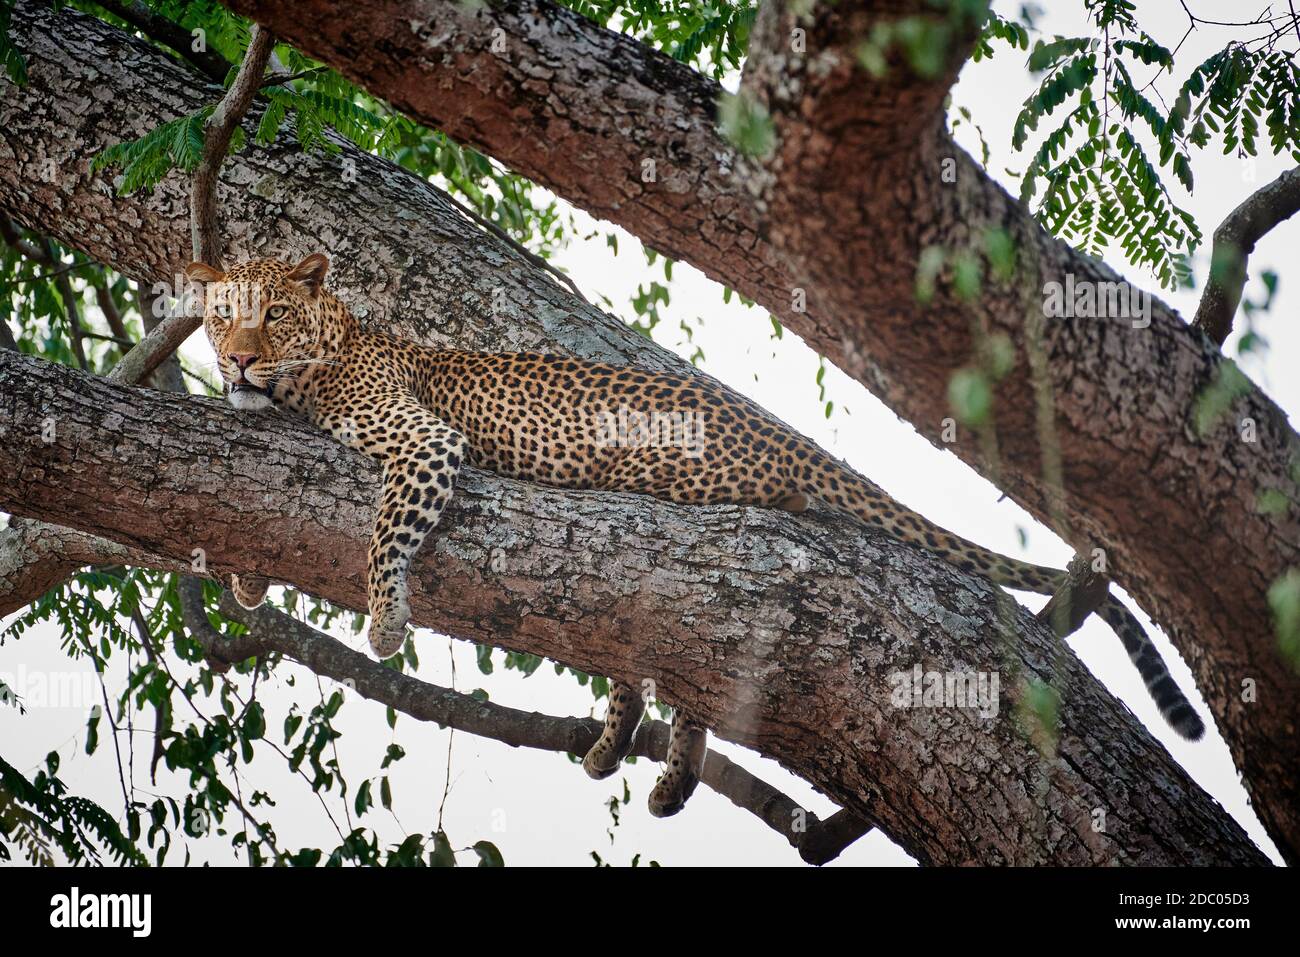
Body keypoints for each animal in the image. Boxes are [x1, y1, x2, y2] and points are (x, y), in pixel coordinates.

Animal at [187, 253, 1205, 819]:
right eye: (217, 315)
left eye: (272, 312)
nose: (235, 358)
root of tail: (779, 432)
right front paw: (245, 582)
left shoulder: (421, 440)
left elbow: (384, 527)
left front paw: (385, 617)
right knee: (673, 659)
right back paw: (642, 760)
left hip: (673, 487)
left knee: (684, 642)